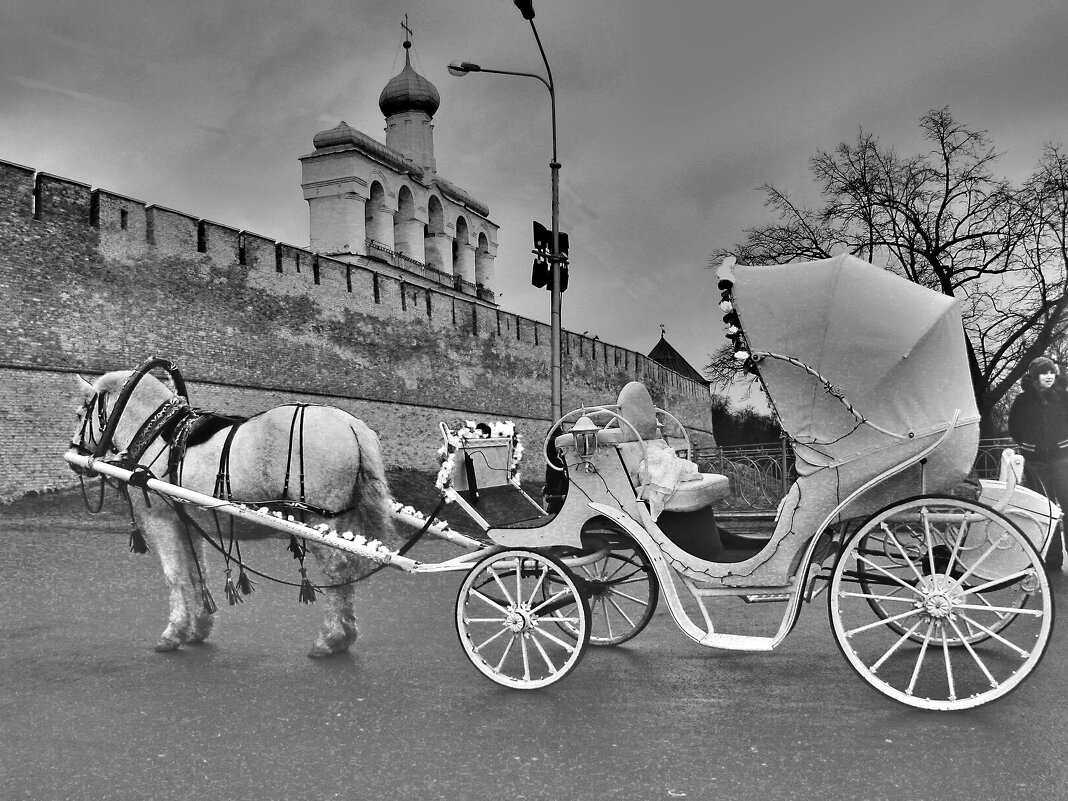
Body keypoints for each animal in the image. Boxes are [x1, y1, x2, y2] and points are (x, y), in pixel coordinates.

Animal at [72, 369, 403, 657]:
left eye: (79, 415)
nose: (75, 454)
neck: (158, 434)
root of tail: (350, 424)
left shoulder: (160, 519)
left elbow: (175, 576)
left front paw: (173, 632)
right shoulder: (187, 521)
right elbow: (196, 573)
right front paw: (198, 627)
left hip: (319, 519)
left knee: (337, 571)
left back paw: (331, 639)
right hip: (340, 520)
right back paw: (343, 634)